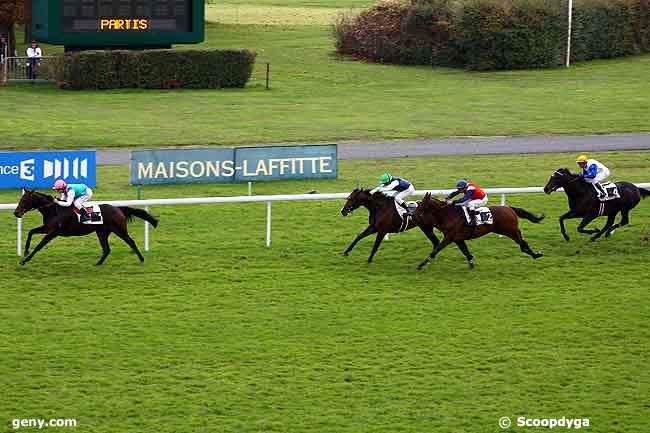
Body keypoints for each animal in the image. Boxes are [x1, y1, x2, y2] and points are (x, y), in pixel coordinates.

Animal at [13, 188, 158, 264]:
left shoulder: (54, 232)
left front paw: (24, 260)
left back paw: (141, 259)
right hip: (102, 232)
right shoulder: (47, 228)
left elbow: (39, 246)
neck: (54, 210)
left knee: (131, 242)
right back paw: (98, 264)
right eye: (20, 199)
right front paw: (25, 252)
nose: (16, 213)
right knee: (107, 249)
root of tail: (118, 209)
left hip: (119, 230)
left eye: (25, 200)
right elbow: (31, 232)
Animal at [412, 193, 544, 270]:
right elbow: (465, 251)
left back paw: (536, 254)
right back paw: (534, 254)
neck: (449, 215)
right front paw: (471, 263)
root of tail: (509, 208)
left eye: (421, 204)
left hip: (509, 230)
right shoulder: (457, 238)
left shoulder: (449, 238)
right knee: (522, 242)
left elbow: (436, 250)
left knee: (522, 243)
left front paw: (421, 265)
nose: (413, 214)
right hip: (509, 230)